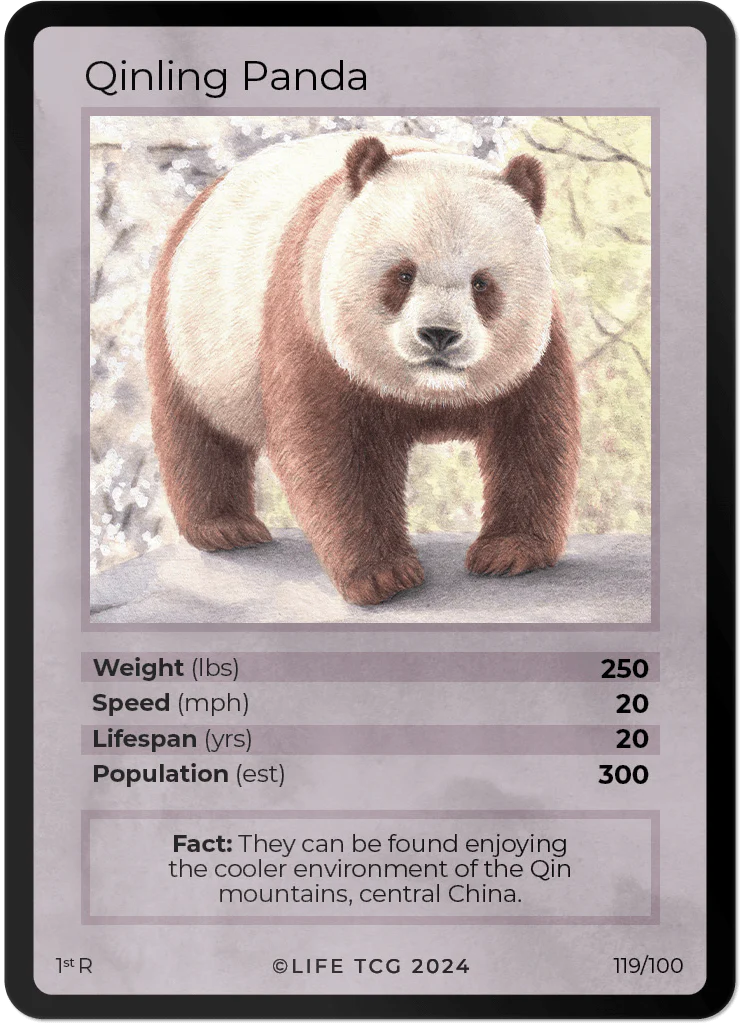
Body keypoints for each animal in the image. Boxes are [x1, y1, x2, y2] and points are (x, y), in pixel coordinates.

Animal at [146, 132, 580, 606]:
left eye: (482, 283)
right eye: (403, 275)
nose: (439, 335)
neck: (428, 392)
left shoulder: (533, 352)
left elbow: (532, 436)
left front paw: (510, 552)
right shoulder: (313, 327)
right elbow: (332, 455)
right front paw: (382, 576)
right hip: (191, 331)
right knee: (194, 432)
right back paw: (225, 528)